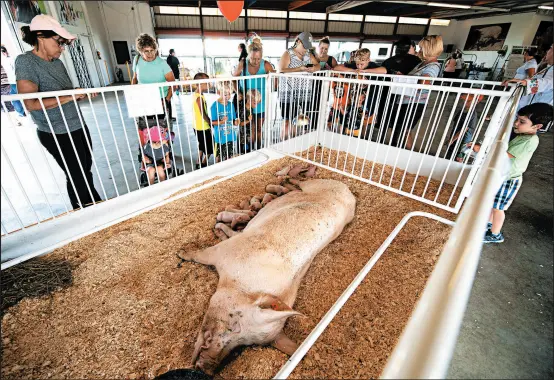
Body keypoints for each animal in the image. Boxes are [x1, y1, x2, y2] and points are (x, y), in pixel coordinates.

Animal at [179, 180, 356, 376]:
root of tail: (347, 191)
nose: (207, 368)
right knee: (301, 184)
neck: (240, 283)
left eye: (244, 345)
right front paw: (181, 252)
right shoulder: (226, 250)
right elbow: (200, 254)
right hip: (316, 185)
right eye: (233, 325)